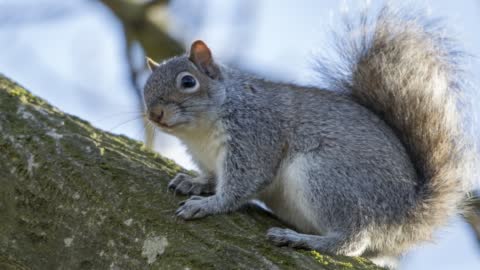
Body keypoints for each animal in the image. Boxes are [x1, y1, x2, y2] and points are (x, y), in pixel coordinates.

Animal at [142, 6, 476, 268]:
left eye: (188, 82)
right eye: (146, 87)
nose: (154, 113)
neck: (199, 132)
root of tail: (405, 213)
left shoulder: (256, 135)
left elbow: (242, 184)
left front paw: (209, 204)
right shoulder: (208, 158)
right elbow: (212, 176)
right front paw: (194, 182)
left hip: (326, 177)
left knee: (352, 240)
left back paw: (301, 240)